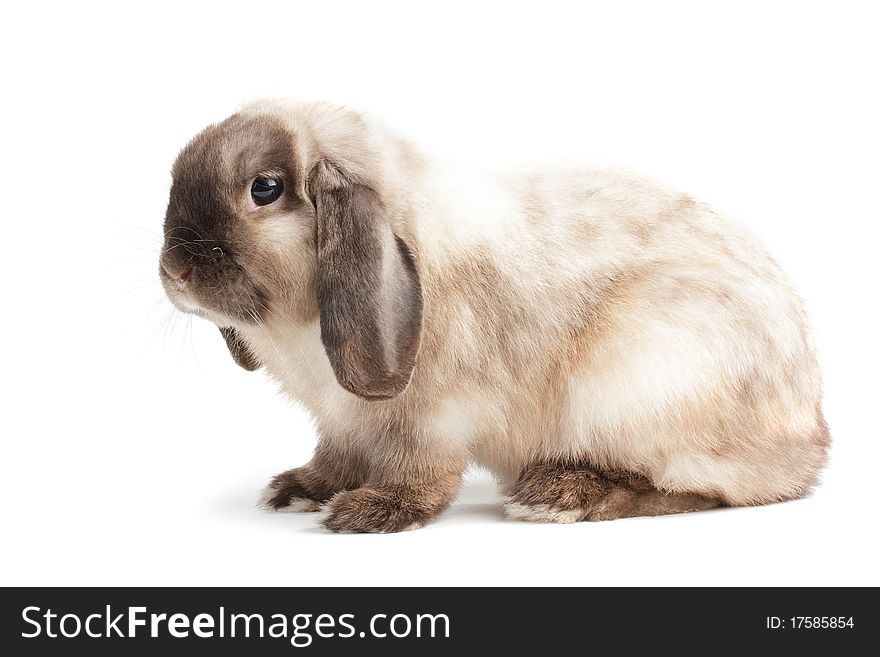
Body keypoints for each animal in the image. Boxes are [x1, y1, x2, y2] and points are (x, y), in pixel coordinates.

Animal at [162, 98, 828, 532]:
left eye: (265, 188)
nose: (174, 271)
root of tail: (811, 440)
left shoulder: (431, 416)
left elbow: (420, 470)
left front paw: (372, 512)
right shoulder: (343, 421)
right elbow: (336, 457)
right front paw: (299, 489)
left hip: (639, 378)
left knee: (698, 488)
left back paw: (558, 496)